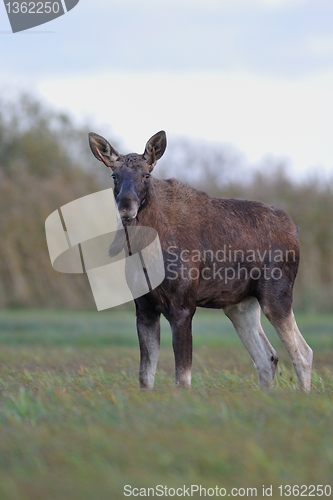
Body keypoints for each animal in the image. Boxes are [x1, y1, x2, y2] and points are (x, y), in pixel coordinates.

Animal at [87, 131, 312, 392]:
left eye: (146, 174)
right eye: (114, 176)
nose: (126, 208)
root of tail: (295, 229)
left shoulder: (183, 307)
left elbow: (182, 378)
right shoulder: (144, 308)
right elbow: (145, 376)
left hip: (276, 296)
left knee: (303, 353)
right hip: (240, 305)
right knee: (268, 358)